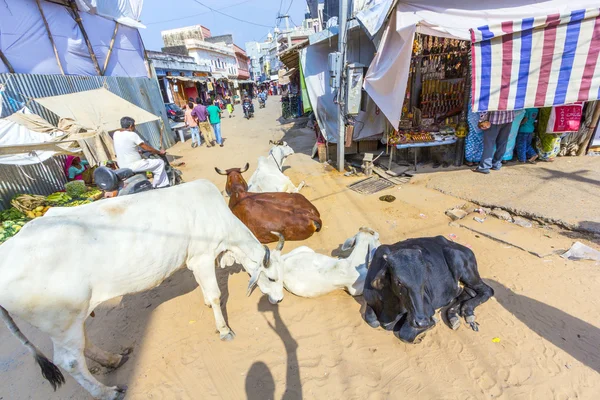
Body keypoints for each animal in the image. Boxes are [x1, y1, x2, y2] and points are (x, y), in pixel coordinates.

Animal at [0, 180, 286, 400]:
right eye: (272, 278)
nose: (280, 299)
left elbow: (207, 294)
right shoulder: (202, 257)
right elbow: (215, 296)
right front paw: (224, 329)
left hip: (73, 318)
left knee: (84, 345)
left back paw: (113, 359)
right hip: (61, 321)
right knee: (69, 361)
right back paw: (109, 392)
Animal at [364, 236, 494, 342]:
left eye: (425, 279)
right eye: (399, 282)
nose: (422, 321)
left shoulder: (427, 308)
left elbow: (405, 334)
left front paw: (428, 326)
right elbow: (372, 320)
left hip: (466, 272)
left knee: (488, 290)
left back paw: (467, 309)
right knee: (467, 293)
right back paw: (453, 316)